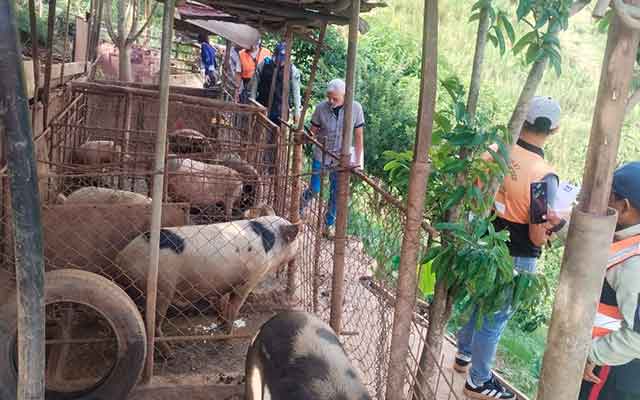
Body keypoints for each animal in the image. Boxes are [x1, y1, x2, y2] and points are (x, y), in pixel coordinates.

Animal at [114, 214, 300, 336]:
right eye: (295, 239)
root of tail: (121, 260)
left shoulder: (224, 280)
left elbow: (222, 302)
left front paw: (220, 322)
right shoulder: (249, 278)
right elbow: (235, 305)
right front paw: (228, 332)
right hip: (162, 287)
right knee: (153, 321)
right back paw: (167, 349)